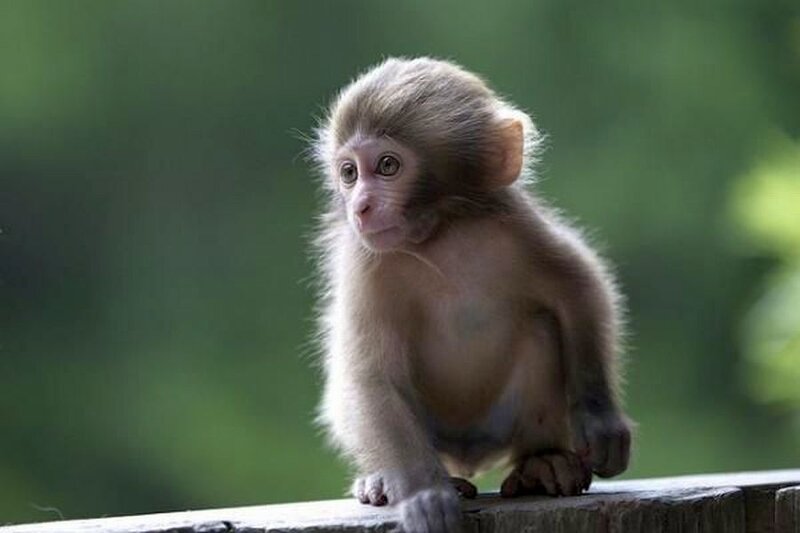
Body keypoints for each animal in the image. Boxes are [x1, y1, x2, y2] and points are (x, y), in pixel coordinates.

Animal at [309, 57, 632, 533]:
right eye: (349, 173)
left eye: (387, 166)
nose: (360, 207)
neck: (441, 236)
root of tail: (467, 456)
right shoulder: (365, 262)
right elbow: (371, 373)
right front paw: (423, 494)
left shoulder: (515, 224)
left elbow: (580, 288)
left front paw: (601, 422)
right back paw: (386, 480)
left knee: (541, 327)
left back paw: (542, 461)